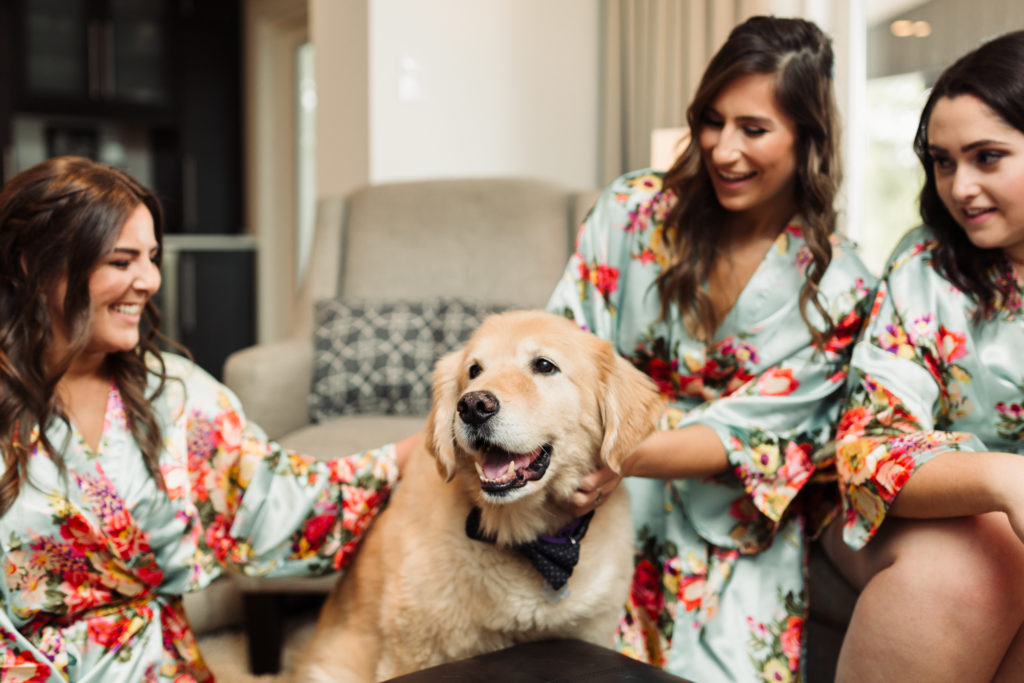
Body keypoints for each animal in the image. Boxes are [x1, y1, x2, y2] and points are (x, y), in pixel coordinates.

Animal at [296, 311, 663, 683]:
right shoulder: (414, 650)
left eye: (544, 365)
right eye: (474, 370)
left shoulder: (592, 629)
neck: (525, 538)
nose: (473, 405)